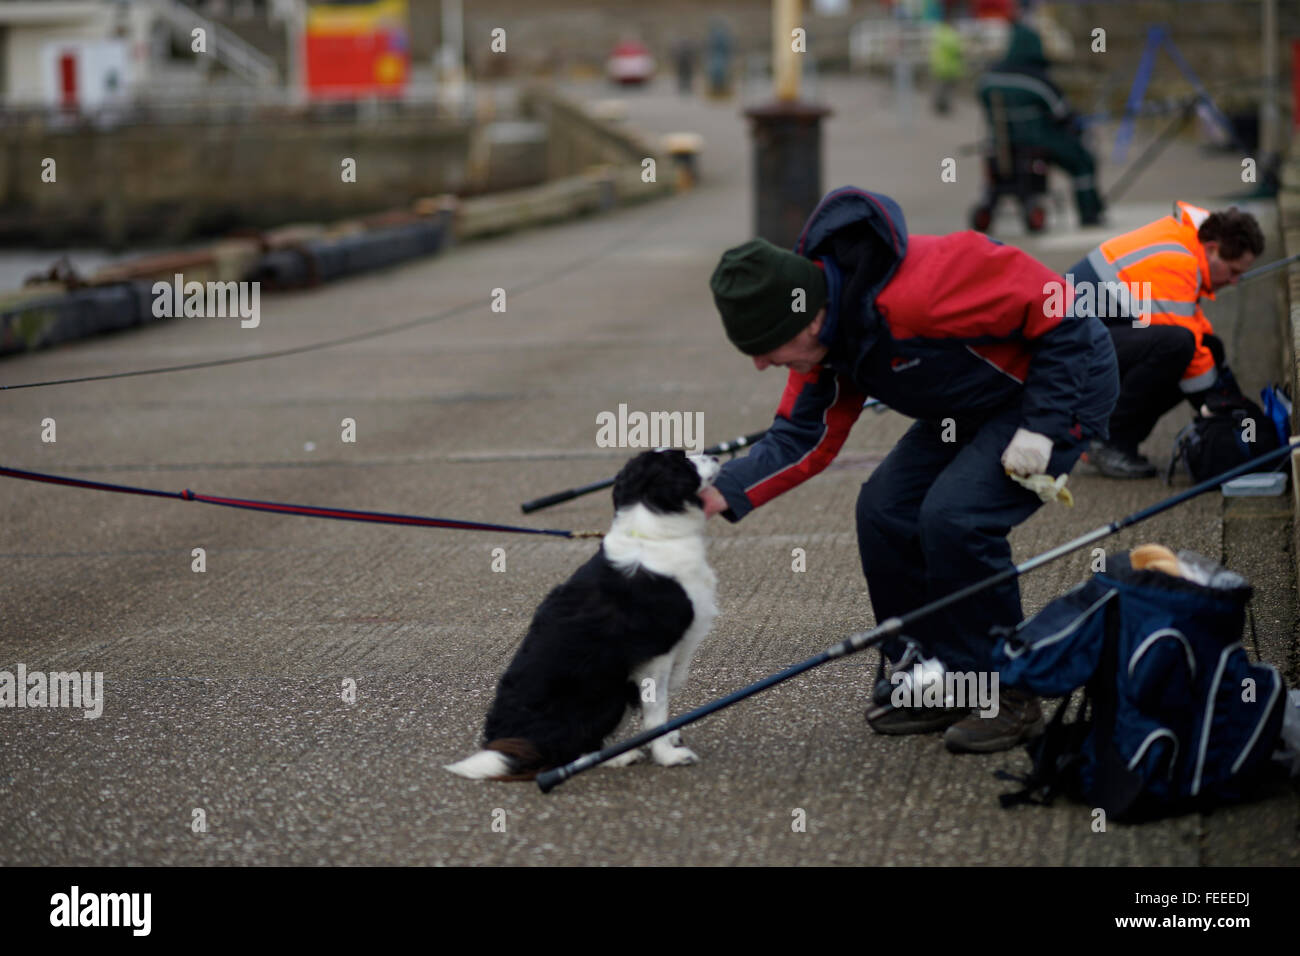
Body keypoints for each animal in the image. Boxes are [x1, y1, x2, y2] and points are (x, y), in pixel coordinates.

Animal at [449, 447, 722, 780]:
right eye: (683, 459)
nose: (716, 457)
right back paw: (618, 757)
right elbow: (656, 713)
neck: (650, 534)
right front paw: (668, 755)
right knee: (565, 753)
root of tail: (512, 746)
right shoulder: (655, 656)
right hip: (603, 693)